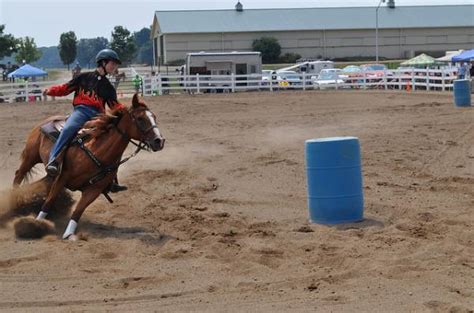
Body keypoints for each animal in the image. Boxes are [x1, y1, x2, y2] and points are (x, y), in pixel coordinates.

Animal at [12, 92, 166, 239]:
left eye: (154, 117)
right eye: (140, 118)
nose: (159, 141)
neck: (97, 152)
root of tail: (46, 121)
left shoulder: (94, 190)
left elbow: (78, 211)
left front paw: (69, 234)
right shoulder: (62, 178)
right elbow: (49, 202)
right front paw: (36, 224)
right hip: (31, 157)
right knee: (19, 175)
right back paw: (15, 201)